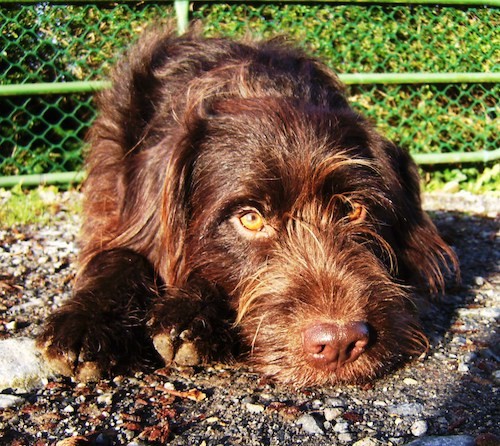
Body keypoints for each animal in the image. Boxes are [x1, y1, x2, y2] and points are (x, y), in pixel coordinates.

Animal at [38, 26, 458, 386]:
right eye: (250, 219)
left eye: (352, 209)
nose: (340, 342)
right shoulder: (118, 209)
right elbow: (121, 255)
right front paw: (86, 323)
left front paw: (191, 312)